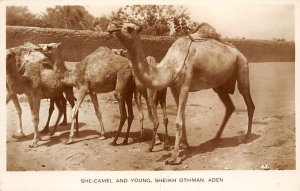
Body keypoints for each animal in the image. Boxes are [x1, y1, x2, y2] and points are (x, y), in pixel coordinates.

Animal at [106, 20, 254, 164]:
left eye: (129, 28)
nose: (111, 26)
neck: (169, 68)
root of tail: (239, 53)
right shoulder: (174, 88)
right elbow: (182, 116)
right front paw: (185, 145)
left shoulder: (185, 86)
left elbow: (178, 121)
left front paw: (174, 157)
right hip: (219, 86)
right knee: (229, 107)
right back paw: (216, 138)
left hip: (242, 67)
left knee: (249, 102)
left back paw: (247, 137)